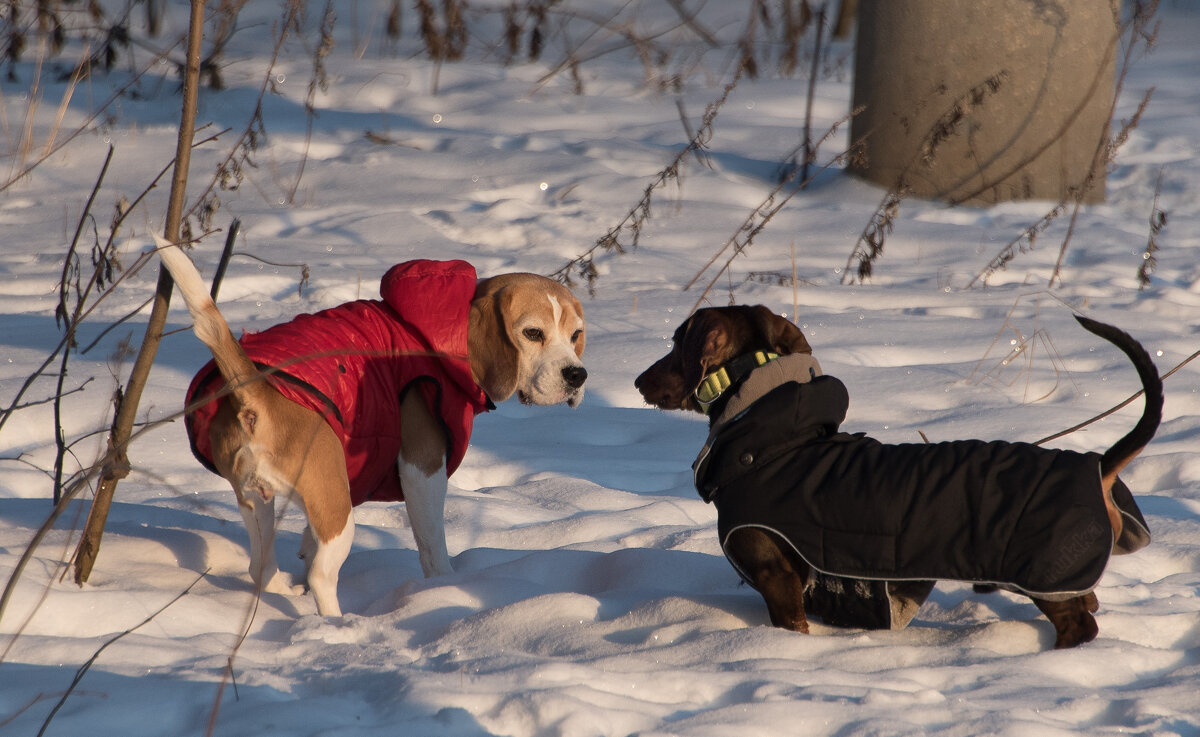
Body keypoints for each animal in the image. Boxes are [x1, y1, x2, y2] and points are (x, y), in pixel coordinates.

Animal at [157, 243, 588, 619]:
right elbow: (432, 544)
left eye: (575, 335)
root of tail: (255, 390)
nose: (577, 375)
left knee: (260, 568)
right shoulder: (423, 466)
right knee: (322, 576)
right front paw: (443, 587)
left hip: (258, 500)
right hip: (338, 511)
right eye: (532, 333)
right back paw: (337, 626)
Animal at [638, 309, 1161, 648]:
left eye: (676, 343)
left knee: (1079, 627)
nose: (639, 380)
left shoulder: (777, 576)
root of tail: (1097, 465)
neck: (774, 438)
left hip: (1047, 575)